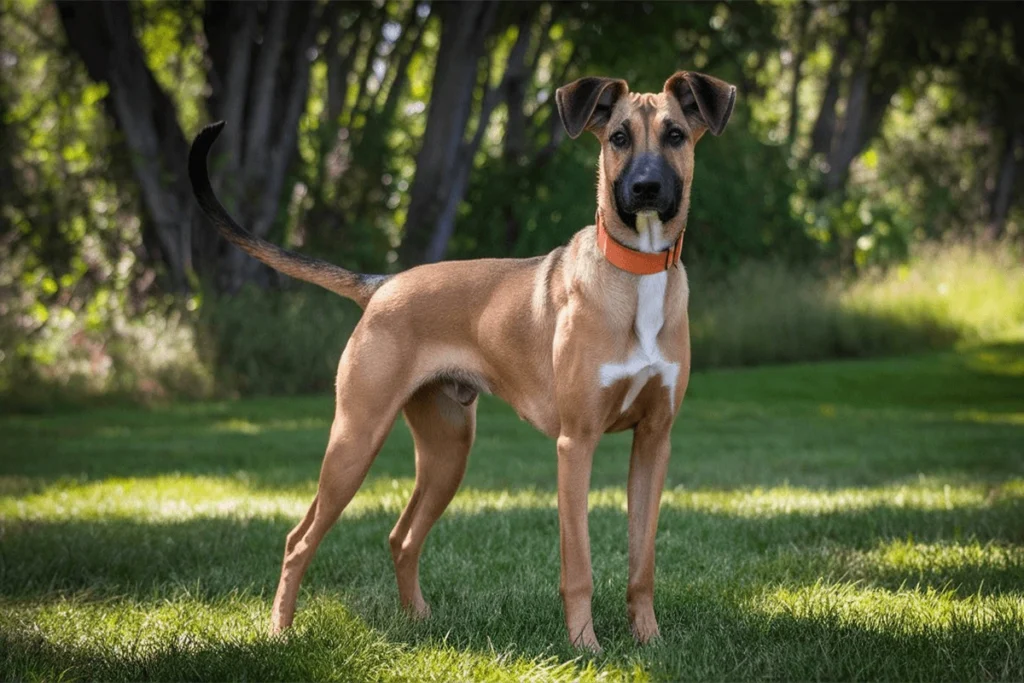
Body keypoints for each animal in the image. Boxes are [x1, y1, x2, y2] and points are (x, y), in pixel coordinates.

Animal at [190, 70, 737, 651]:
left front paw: (649, 641)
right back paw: (279, 630)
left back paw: (419, 621)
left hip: (447, 452)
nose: (646, 189)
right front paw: (585, 647)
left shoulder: (654, 442)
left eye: (675, 135)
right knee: (299, 539)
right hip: (355, 441)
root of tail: (383, 285)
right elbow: (579, 566)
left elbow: (642, 563)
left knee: (401, 536)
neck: (636, 275)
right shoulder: (577, 444)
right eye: (618, 138)